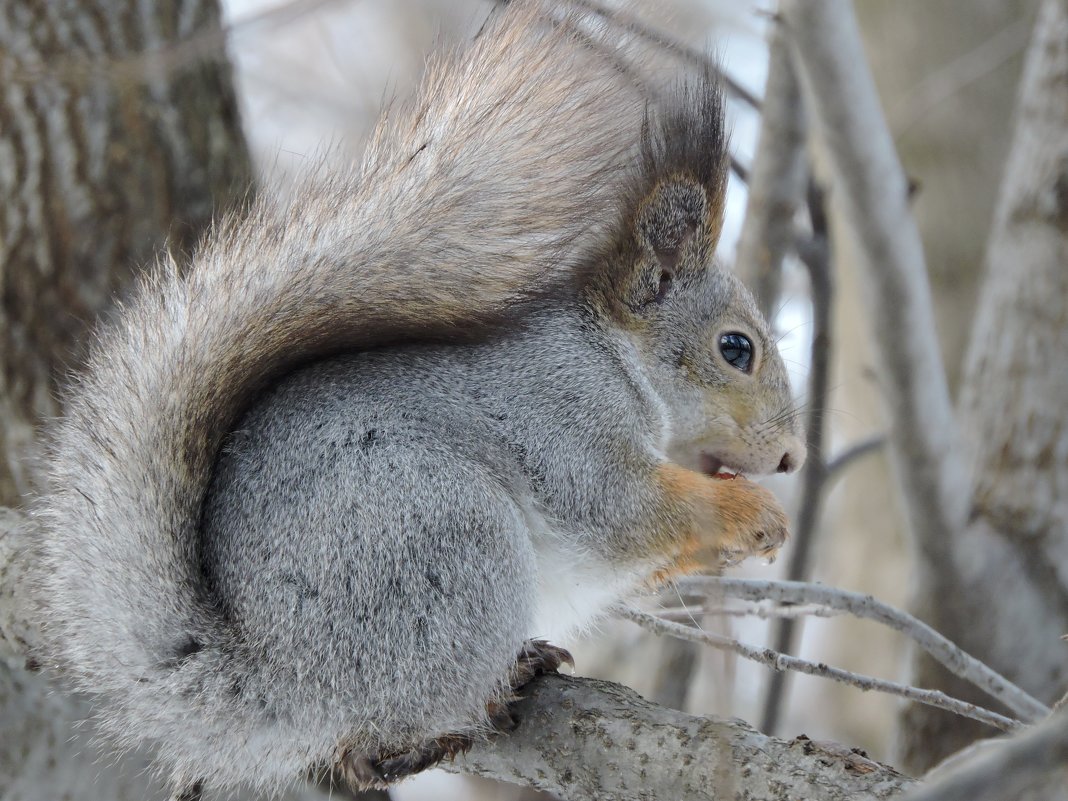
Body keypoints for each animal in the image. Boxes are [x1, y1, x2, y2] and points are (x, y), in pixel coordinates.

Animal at [31, 0, 803, 798]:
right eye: (735, 349)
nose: (790, 458)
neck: (616, 360)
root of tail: (279, 679)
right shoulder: (559, 412)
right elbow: (619, 505)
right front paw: (752, 512)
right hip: (448, 542)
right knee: (397, 716)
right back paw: (477, 700)